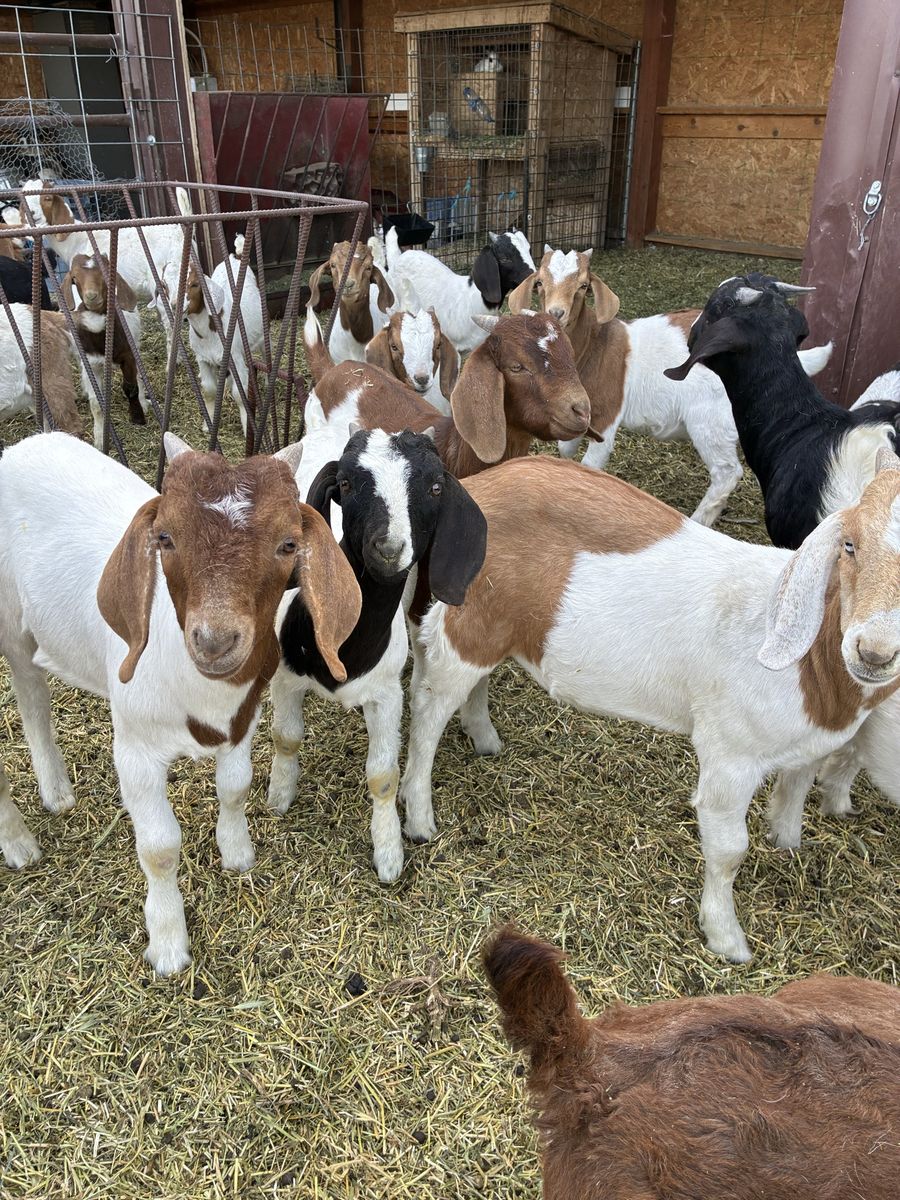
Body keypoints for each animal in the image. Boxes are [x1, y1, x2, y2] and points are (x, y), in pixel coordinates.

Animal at [0, 432, 361, 974]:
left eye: (288, 543)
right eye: (165, 538)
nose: (215, 641)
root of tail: (21, 446)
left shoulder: (243, 721)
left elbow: (235, 787)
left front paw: (237, 854)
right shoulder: (135, 748)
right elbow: (159, 848)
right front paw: (169, 944)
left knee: (31, 696)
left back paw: (56, 792)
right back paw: (20, 843)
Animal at [60, 252, 147, 448]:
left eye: (106, 273)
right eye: (74, 278)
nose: (92, 297)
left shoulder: (128, 355)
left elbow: (131, 387)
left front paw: (138, 416)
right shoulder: (92, 364)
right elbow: (96, 404)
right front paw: (99, 439)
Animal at [268, 428, 486, 882]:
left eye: (435, 487)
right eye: (346, 484)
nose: (388, 547)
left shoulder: (385, 695)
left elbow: (383, 775)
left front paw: (388, 853)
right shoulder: (285, 678)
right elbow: (286, 736)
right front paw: (279, 794)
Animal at [399, 451, 900, 962]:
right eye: (850, 545)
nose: (874, 653)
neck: (806, 658)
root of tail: (473, 488)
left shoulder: (813, 744)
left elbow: (794, 794)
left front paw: (786, 845)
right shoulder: (730, 755)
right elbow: (729, 849)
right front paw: (726, 938)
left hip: (486, 628)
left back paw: (483, 737)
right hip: (468, 623)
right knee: (427, 711)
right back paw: (418, 815)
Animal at [510, 248, 832, 527]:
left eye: (583, 286)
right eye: (539, 283)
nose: (556, 313)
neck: (594, 345)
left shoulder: (607, 418)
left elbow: (591, 463)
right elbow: (565, 449)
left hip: (710, 421)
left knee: (726, 472)